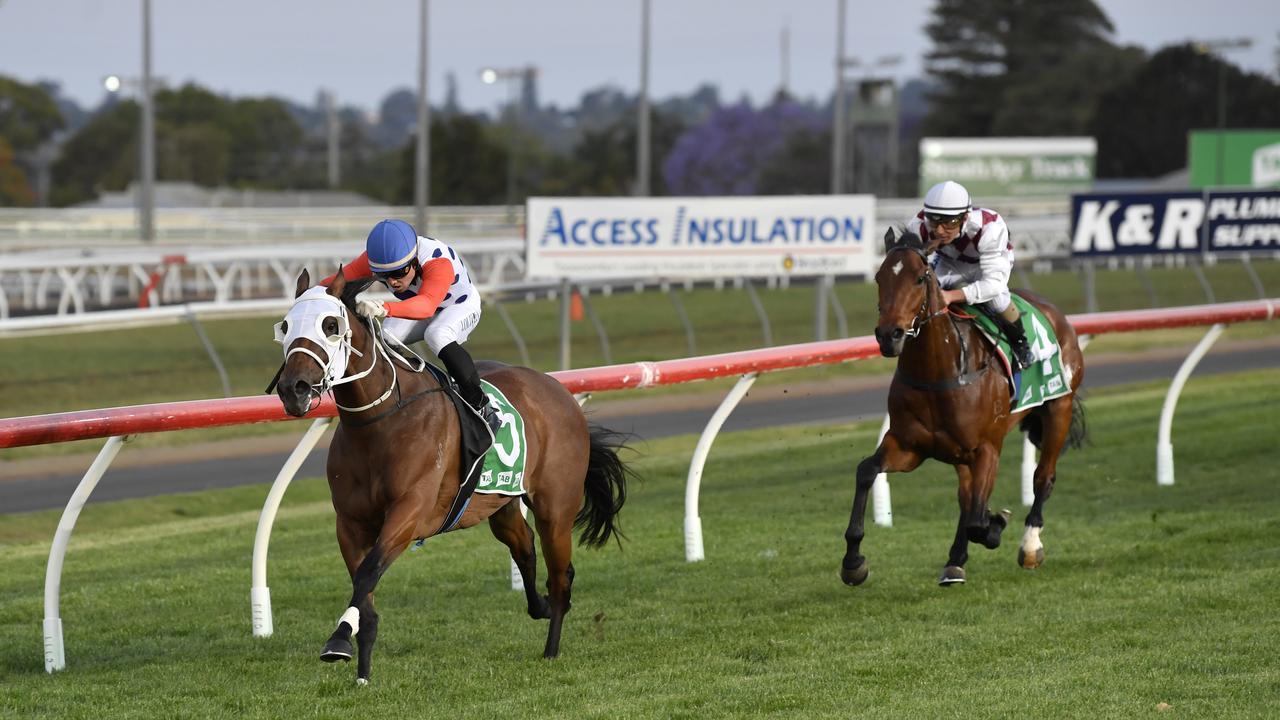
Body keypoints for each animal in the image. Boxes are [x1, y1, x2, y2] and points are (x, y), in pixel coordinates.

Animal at [273, 266, 629, 681]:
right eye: (285, 325)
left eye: (330, 325)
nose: (293, 389)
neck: (379, 423)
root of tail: (558, 389)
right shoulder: (350, 522)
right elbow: (365, 586)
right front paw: (358, 662)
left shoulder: (408, 512)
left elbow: (367, 573)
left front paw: (339, 640)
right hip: (500, 504)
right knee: (523, 546)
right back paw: (537, 606)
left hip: (556, 508)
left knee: (560, 576)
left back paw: (552, 646)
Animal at [844, 229, 1085, 584]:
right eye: (879, 277)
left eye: (920, 278)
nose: (889, 335)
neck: (940, 371)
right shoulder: (908, 446)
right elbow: (866, 471)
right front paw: (853, 561)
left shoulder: (987, 448)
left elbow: (977, 520)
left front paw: (996, 525)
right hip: (959, 452)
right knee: (966, 494)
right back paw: (955, 561)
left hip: (1059, 408)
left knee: (1043, 477)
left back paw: (1029, 546)